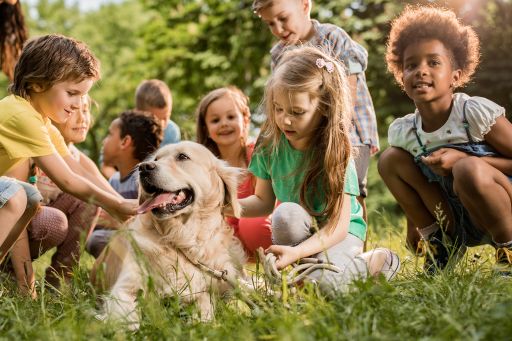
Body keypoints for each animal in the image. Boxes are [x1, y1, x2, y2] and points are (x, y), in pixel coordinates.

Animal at [91, 140, 248, 326]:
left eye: (182, 156)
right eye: (156, 159)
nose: (143, 167)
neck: (181, 240)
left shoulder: (204, 292)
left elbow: (205, 313)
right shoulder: (125, 289)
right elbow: (129, 321)